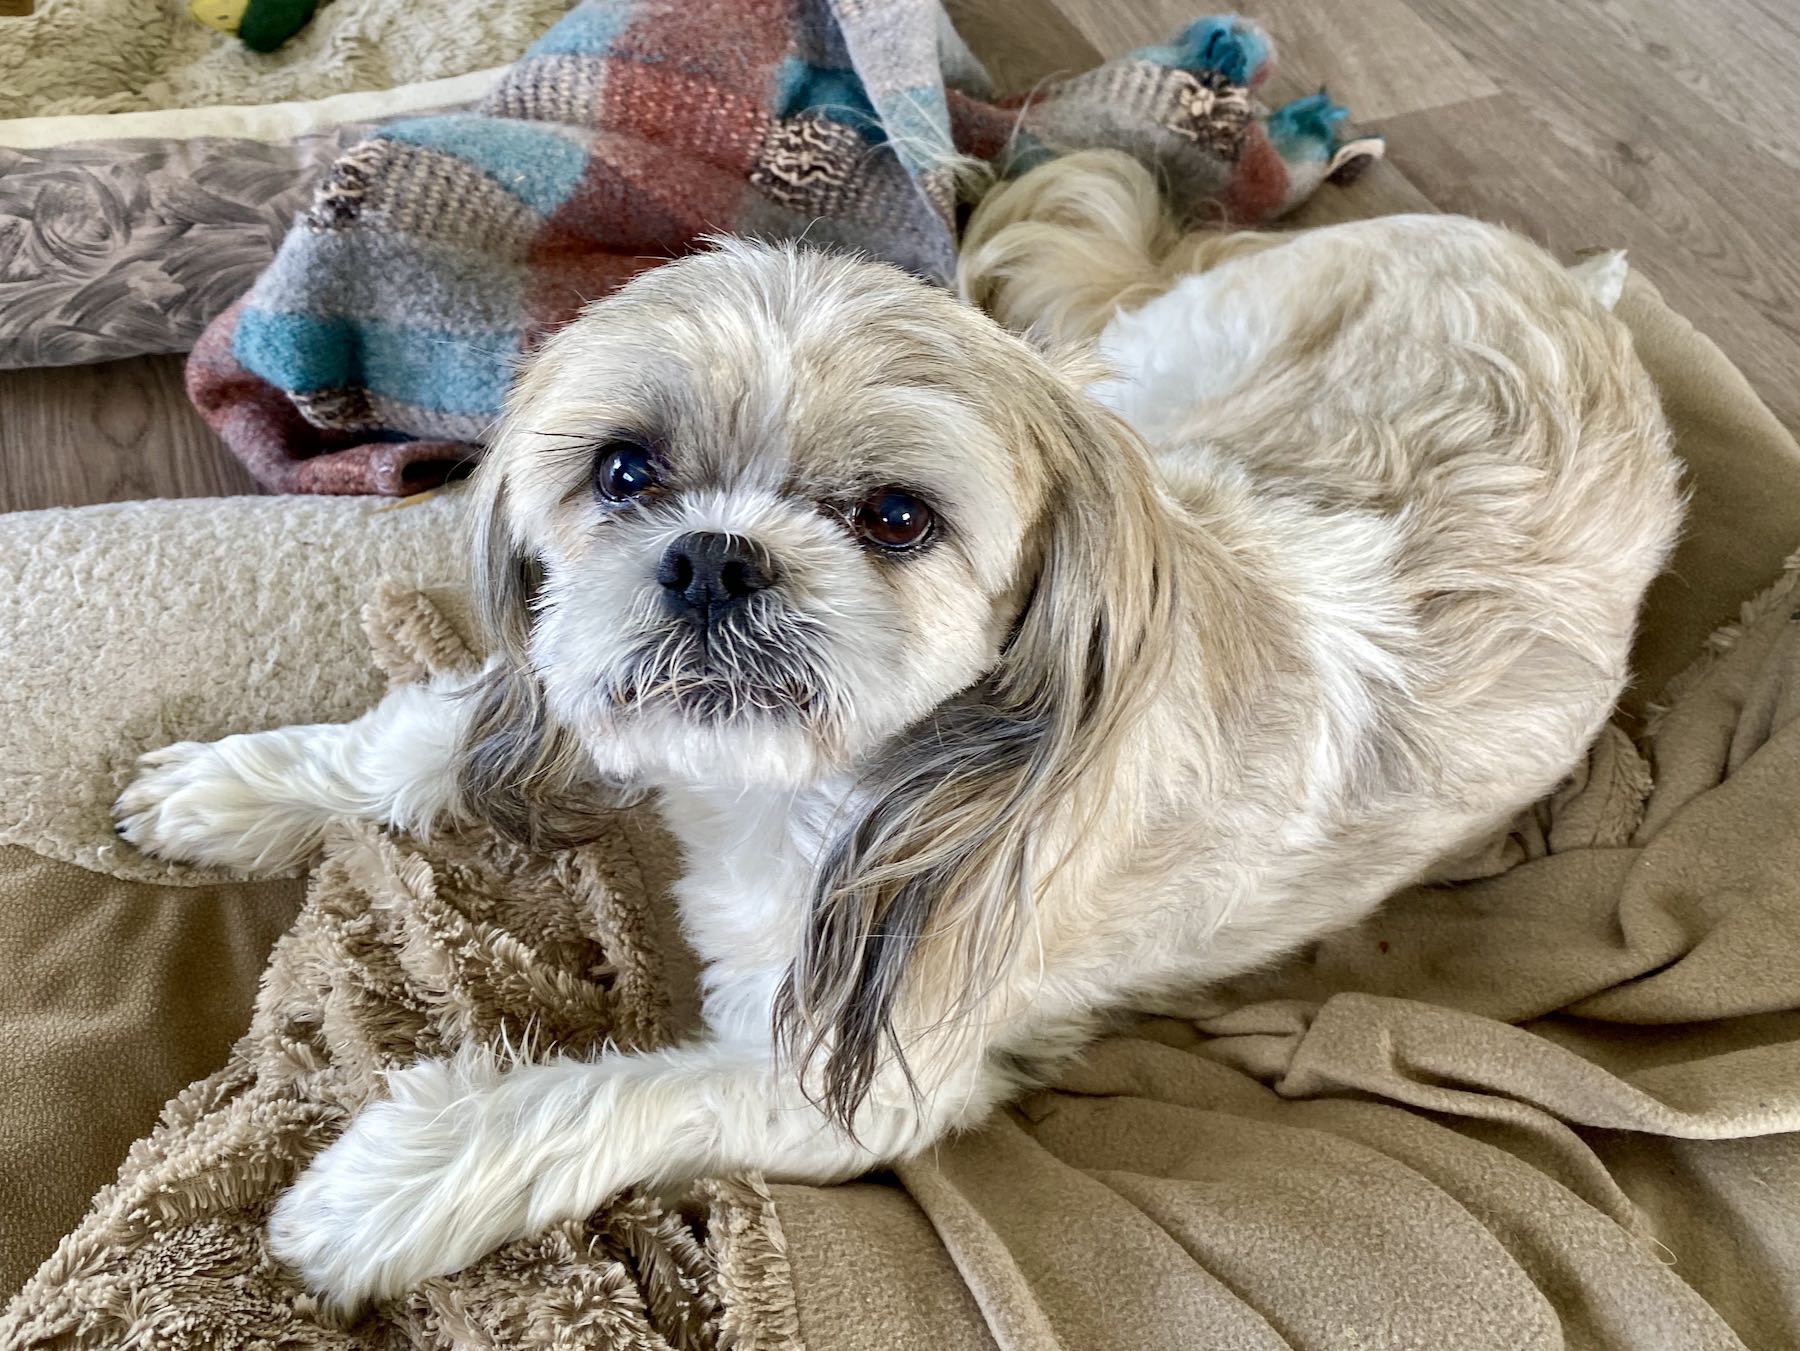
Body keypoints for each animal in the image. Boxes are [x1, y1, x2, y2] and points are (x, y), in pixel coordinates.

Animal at [119, 152, 1677, 1316]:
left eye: (896, 517)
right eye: (625, 471)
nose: (713, 557)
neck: (805, 792)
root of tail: (1580, 282)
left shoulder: (843, 1088)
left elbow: (599, 1102)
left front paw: (387, 1181)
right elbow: (423, 739)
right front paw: (238, 789)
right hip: (1167, 363)